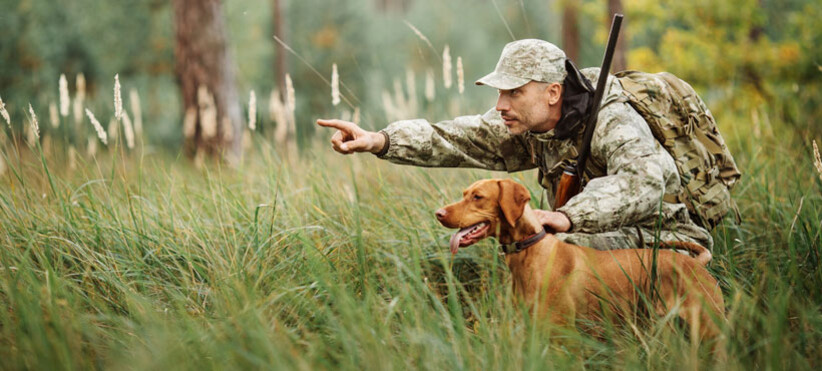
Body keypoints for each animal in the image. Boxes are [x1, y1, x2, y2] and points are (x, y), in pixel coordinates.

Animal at [434, 179, 724, 340]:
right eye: (464, 194)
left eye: (478, 197)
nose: (438, 213)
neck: (530, 251)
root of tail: (696, 264)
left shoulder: (562, 335)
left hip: (708, 328)